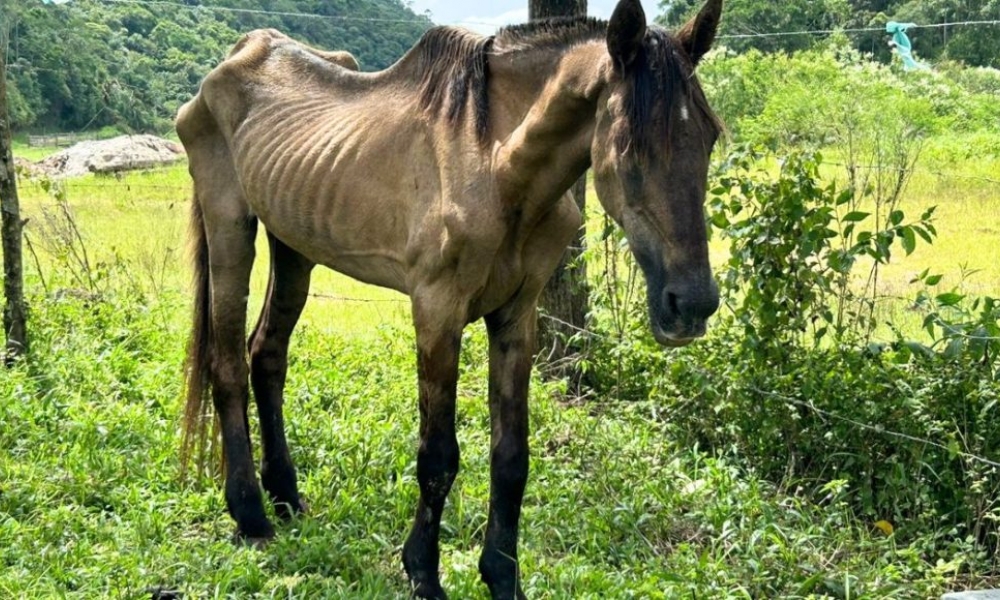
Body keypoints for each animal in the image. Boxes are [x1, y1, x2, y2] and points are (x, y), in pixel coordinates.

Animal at [176, 0, 723, 597]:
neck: (495, 165)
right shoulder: (437, 313)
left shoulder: (516, 318)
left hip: (294, 246)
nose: (692, 305)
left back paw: (286, 496)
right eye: (628, 146)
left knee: (267, 356)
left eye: (710, 137)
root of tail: (240, 55)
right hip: (230, 225)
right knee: (228, 363)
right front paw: (423, 571)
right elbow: (437, 457)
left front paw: (501, 576)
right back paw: (250, 513)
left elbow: (511, 456)